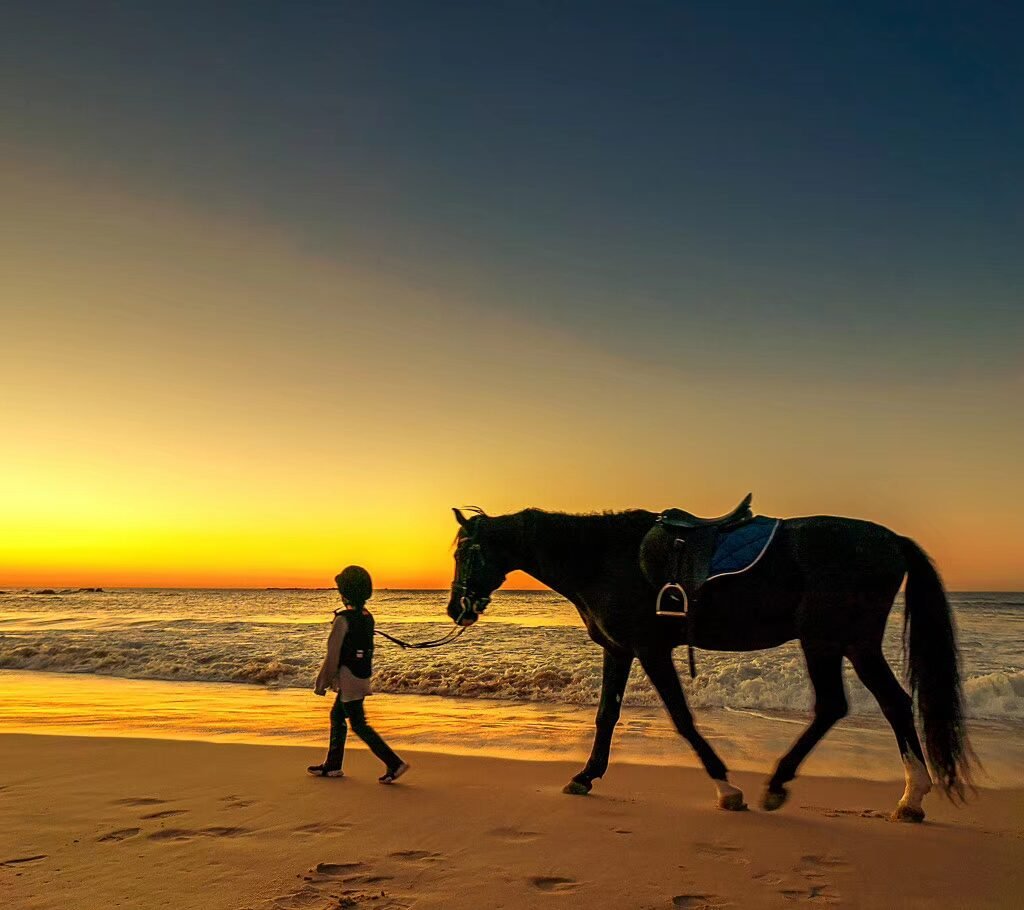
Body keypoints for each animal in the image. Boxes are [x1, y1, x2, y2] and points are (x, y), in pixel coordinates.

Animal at [444, 502, 973, 822]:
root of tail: (892, 540)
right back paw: (909, 798)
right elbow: (606, 715)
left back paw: (784, 784)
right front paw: (585, 776)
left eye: (466, 552)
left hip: (829, 640)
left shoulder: (650, 649)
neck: (605, 557)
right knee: (891, 703)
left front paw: (726, 788)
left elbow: (681, 717)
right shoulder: (619, 650)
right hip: (851, 643)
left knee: (839, 706)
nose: (455, 608)